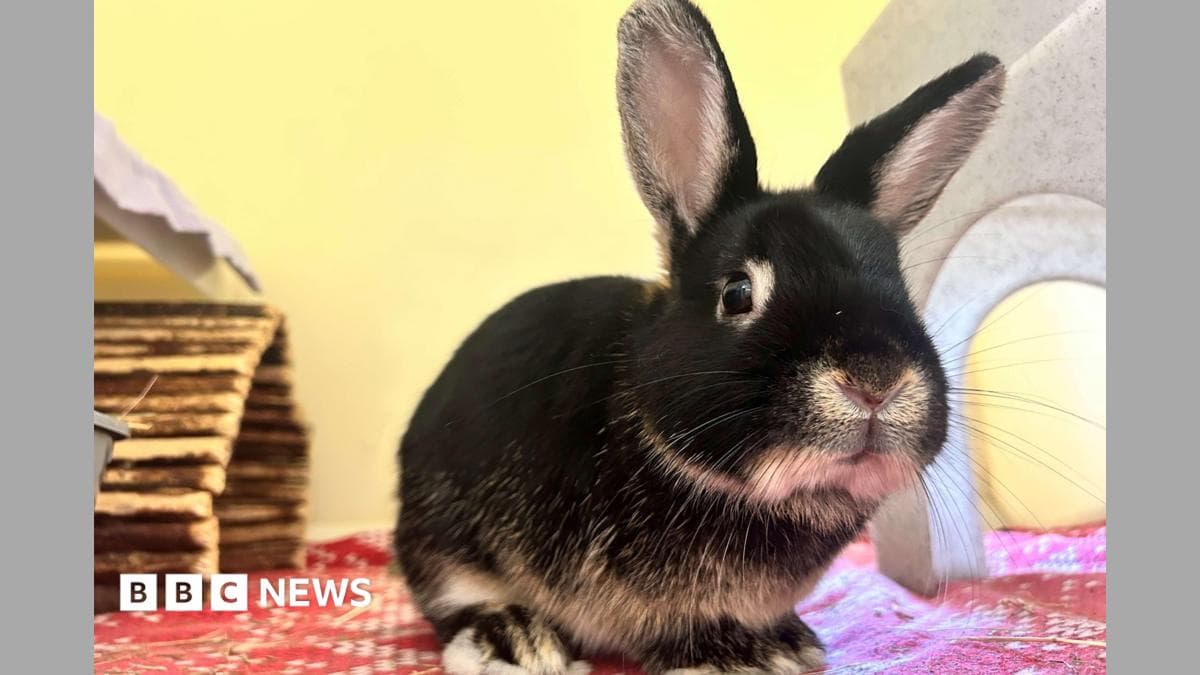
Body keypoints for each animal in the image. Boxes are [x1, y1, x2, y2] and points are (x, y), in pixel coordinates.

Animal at [396, 0, 1005, 672]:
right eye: (737, 292)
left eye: (901, 288)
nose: (876, 379)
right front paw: (736, 656)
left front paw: (788, 642)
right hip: (443, 541)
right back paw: (514, 640)